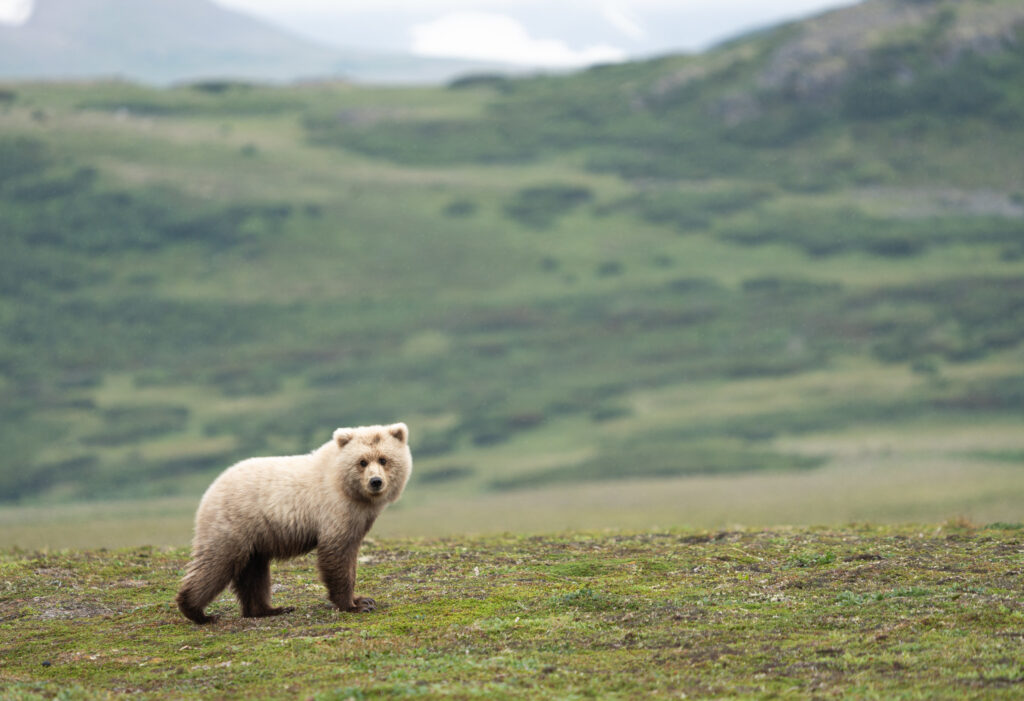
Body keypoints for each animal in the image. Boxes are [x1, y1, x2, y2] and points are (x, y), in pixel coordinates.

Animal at [175, 423, 412, 624]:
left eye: (383, 459)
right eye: (362, 461)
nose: (375, 481)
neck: (351, 492)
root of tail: (212, 486)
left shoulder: (358, 519)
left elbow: (350, 554)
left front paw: (363, 599)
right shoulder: (334, 511)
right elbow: (337, 556)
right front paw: (354, 605)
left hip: (256, 538)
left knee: (254, 573)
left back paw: (269, 609)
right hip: (234, 524)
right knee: (216, 564)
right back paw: (197, 611)